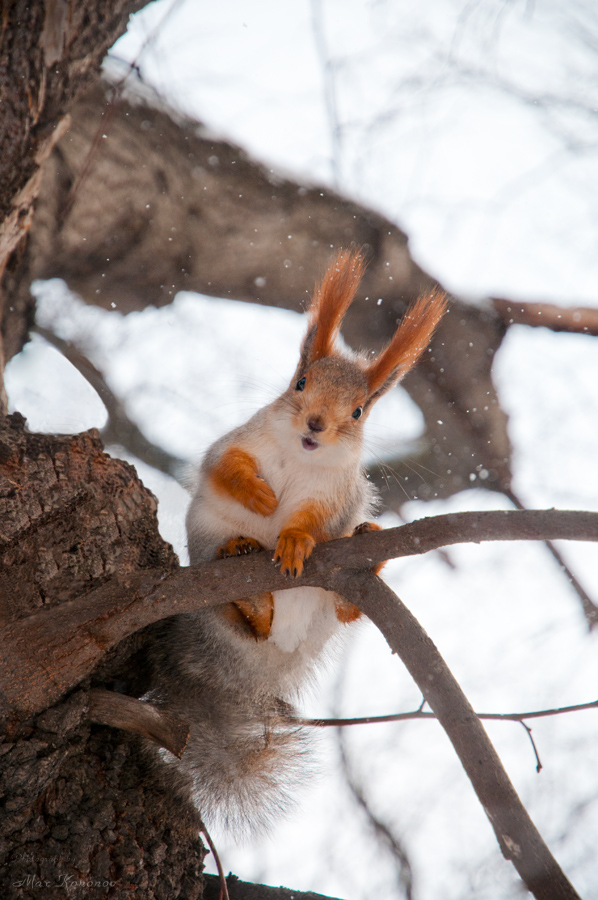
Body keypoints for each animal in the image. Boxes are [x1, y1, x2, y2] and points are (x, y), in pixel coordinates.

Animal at [150, 248, 450, 836]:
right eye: (300, 382)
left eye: (358, 411)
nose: (316, 424)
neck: (297, 455)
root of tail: (266, 669)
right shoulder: (237, 441)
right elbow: (224, 466)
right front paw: (258, 496)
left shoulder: (336, 493)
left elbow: (314, 521)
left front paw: (291, 538)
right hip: (207, 563)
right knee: (244, 616)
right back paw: (246, 583)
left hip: (329, 608)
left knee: (346, 610)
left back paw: (366, 558)